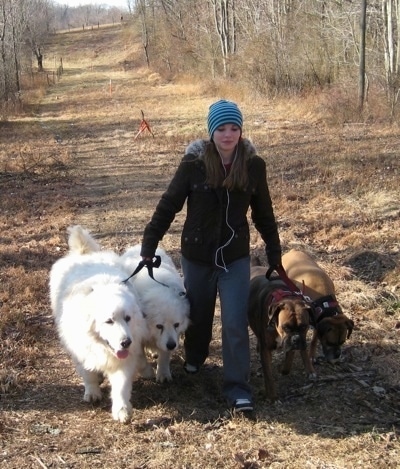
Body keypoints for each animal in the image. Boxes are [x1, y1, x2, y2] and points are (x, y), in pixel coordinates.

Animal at [48, 225, 152, 422]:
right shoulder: (80, 349)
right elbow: (87, 374)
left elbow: (121, 387)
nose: (126, 342)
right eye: (109, 321)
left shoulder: (124, 360)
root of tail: (84, 253)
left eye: (127, 318)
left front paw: (121, 410)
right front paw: (93, 392)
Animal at [121, 243, 190, 382]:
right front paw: (147, 372)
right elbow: (140, 356)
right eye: (159, 326)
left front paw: (163, 374)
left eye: (176, 325)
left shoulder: (170, 338)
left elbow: (164, 355)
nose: (172, 345)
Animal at [247, 262, 316, 400]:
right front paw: (272, 396)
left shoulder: (292, 343)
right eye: (285, 327)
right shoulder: (266, 349)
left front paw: (284, 369)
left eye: (304, 327)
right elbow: (268, 374)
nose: (296, 339)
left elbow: (290, 357)